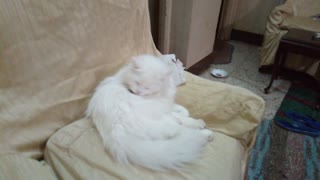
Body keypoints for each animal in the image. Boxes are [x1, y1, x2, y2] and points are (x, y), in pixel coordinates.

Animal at [86, 54, 214, 172]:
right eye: (137, 83)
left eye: (147, 88)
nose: (137, 92)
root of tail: (113, 132)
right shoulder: (163, 109)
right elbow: (182, 117)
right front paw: (195, 121)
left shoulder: (167, 105)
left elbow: (181, 110)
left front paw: (182, 110)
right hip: (165, 123)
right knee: (185, 132)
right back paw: (206, 133)